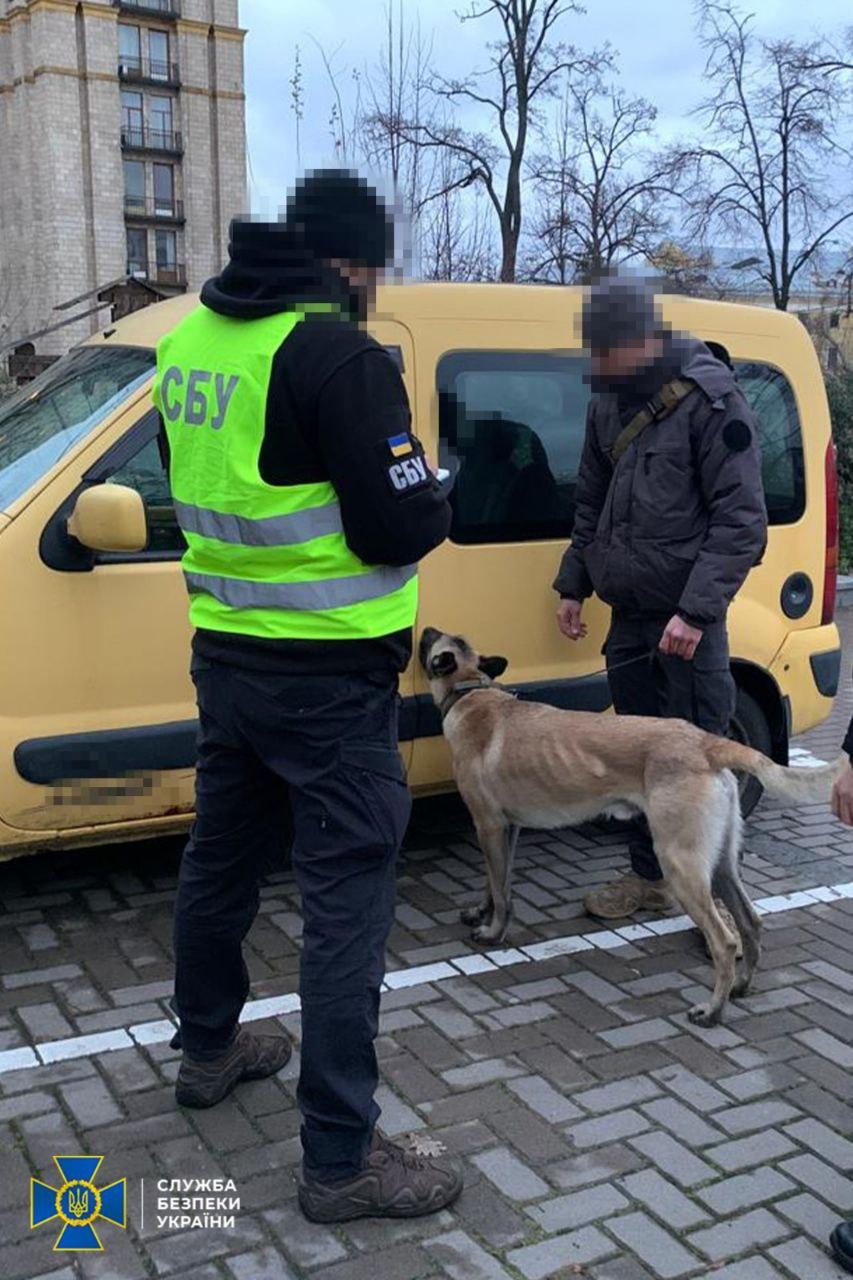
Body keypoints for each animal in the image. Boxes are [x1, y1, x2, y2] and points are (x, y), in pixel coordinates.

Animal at [417, 624, 845, 1024]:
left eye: (433, 640)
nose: (424, 628)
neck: (471, 692)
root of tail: (706, 743)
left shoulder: (488, 825)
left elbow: (501, 890)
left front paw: (493, 932)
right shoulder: (507, 829)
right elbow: (496, 883)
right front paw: (482, 911)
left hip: (680, 863)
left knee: (724, 941)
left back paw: (712, 1010)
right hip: (720, 863)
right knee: (751, 922)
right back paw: (741, 986)